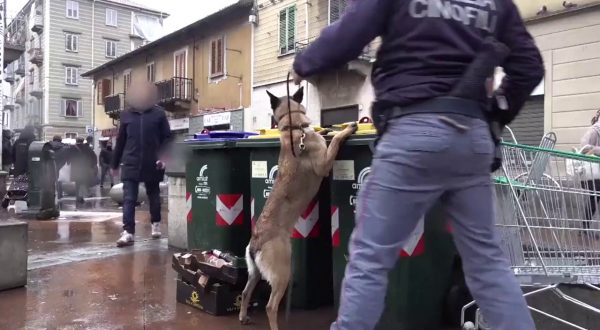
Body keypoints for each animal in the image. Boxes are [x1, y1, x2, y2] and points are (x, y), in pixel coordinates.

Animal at [238, 86, 356, 328]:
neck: (293, 128)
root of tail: (256, 242)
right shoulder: (324, 163)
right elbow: (335, 141)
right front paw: (345, 129)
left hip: (255, 273)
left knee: (245, 292)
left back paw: (243, 316)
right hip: (282, 273)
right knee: (270, 306)